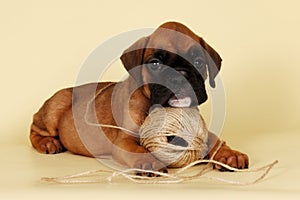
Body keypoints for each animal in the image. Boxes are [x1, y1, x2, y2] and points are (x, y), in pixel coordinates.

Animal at [29, 21, 248, 172]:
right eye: (155, 63)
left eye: (198, 61)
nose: (179, 75)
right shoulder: (124, 140)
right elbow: (138, 150)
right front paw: (150, 161)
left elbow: (215, 139)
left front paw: (230, 154)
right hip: (56, 106)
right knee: (35, 129)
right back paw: (48, 143)